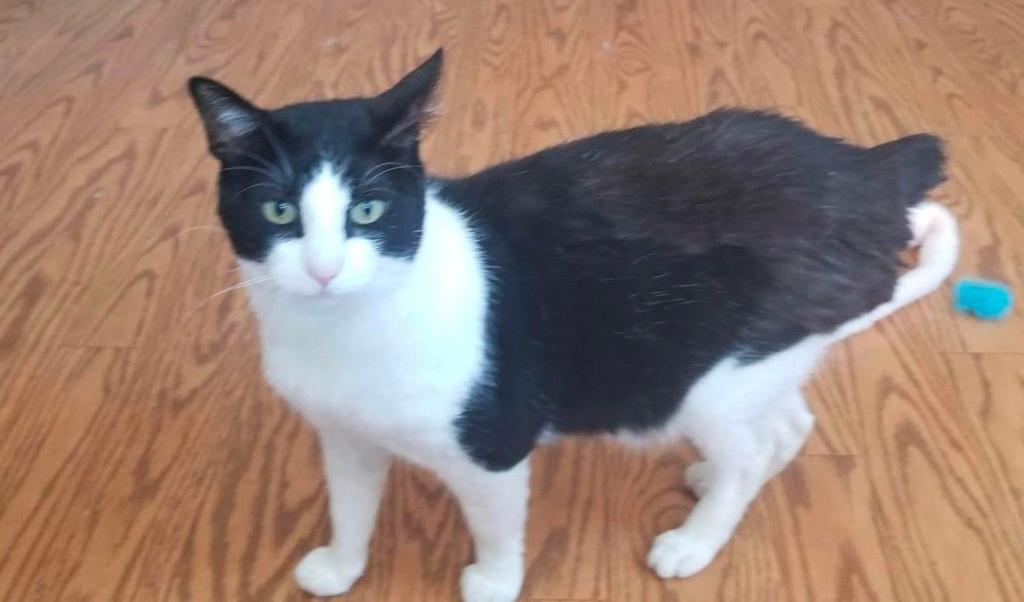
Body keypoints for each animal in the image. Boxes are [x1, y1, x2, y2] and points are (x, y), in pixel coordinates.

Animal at [190, 51, 958, 602]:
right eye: (279, 212)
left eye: (368, 212)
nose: (321, 269)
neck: (345, 330)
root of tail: (864, 168)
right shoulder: (343, 436)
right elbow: (350, 505)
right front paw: (340, 566)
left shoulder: (494, 446)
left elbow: (495, 526)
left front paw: (494, 584)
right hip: (760, 363)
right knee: (789, 426)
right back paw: (715, 476)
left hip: (717, 379)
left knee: (754, 449)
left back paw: (696, 538)